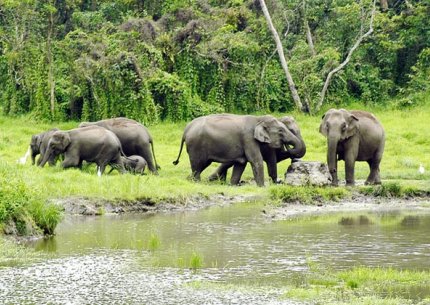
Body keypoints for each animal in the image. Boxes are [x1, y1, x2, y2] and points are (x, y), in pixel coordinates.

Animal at [173, 113, 304, 185]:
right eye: (281, 131)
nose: (294, 160)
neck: (258, 119)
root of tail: (186, 129)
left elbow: (241, 163)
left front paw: (232, 185)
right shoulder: (248, 139)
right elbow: (256, 161)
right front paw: (262, 187)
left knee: (201, 165)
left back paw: (191, 180)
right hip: (196, 145)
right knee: (197, 165)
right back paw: (197, 182)